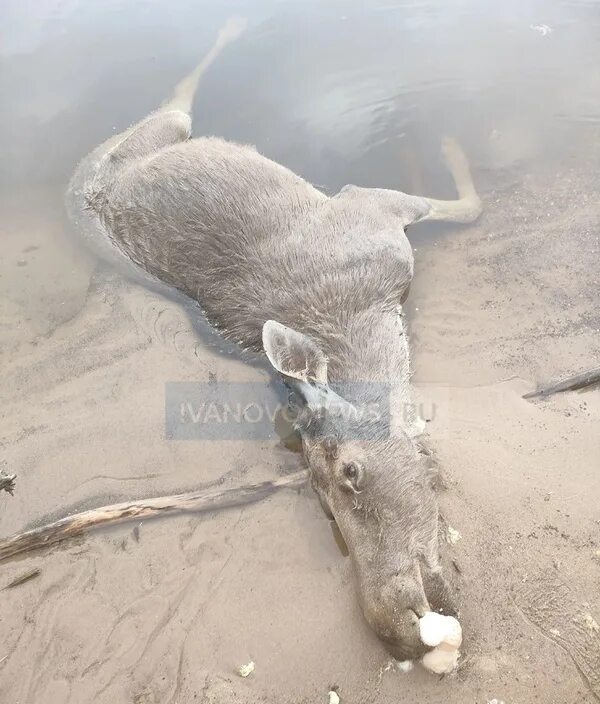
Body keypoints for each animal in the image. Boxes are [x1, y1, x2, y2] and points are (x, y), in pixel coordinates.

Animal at [65, 16, 480, 664]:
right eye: (317, 489)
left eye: (349, 473)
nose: (393, 622)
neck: (374, 328)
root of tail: (82, 187)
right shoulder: (372, 206)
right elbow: (467, 204)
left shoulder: (373, 207)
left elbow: (468, 204)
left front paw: (444, 148)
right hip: (155, 136)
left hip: (158, 135)